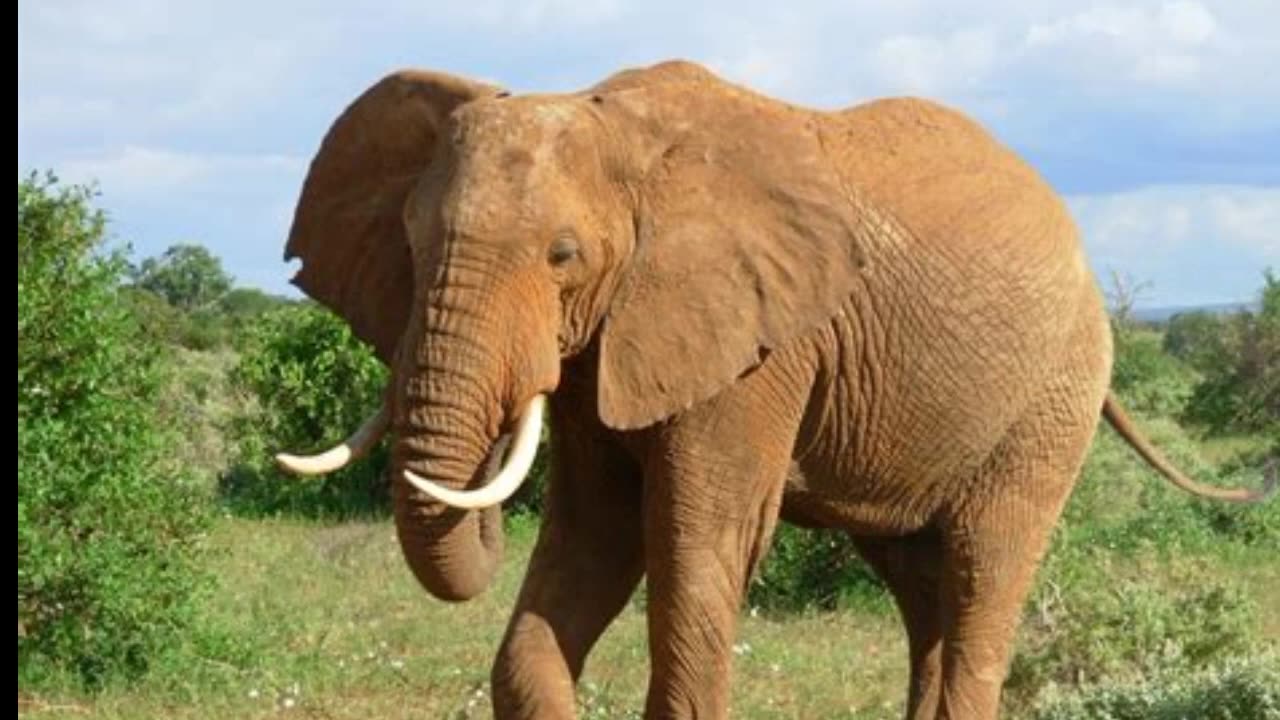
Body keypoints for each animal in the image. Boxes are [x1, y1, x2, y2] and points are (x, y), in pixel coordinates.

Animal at [270, 61, 1269, 717]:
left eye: (563, 256)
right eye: (409, 239)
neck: (617, 120)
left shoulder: (759, 352)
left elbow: (694, 547)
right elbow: (592, 535)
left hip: (1050, 396)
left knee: (984, 568)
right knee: (922, 587)